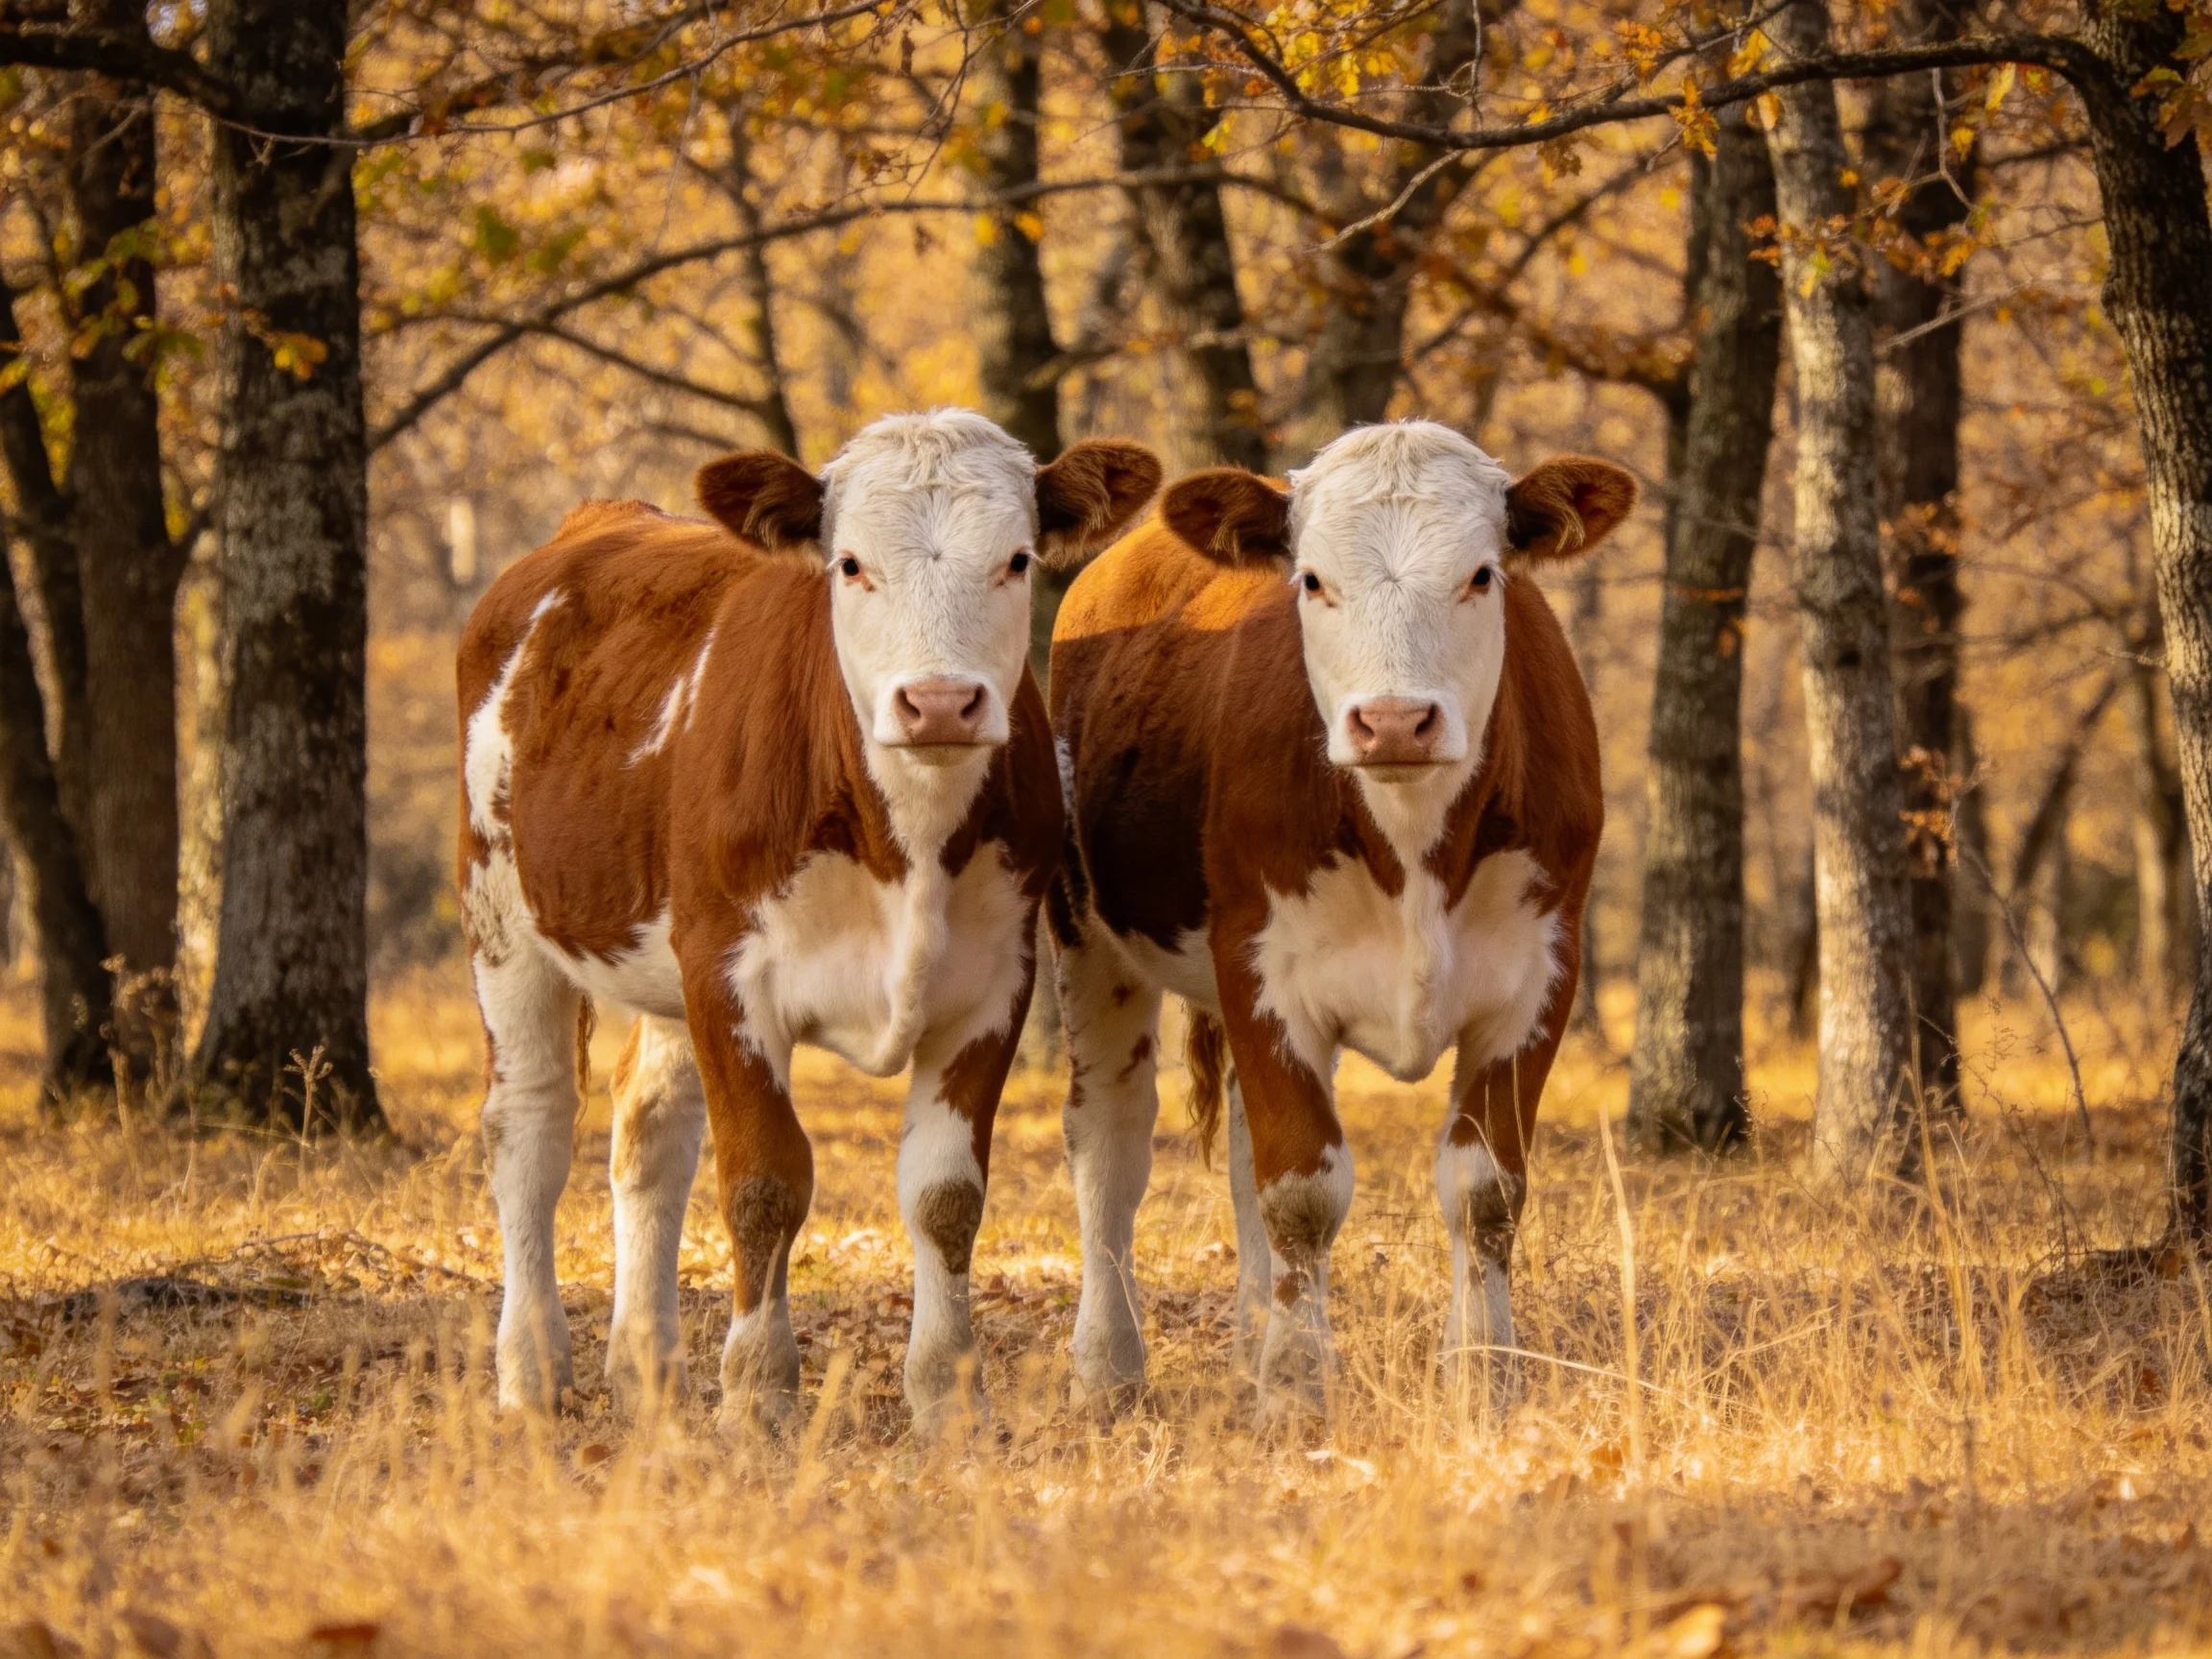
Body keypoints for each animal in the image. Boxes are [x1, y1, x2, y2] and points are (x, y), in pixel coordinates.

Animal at [456, 409, 1161, 1432]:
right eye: (850, 564)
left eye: (1019, 558)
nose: (939, 702)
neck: (902, 840)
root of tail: (600, 519)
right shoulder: (729, 976)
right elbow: (763, 1182)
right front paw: (757, 1393)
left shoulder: (992, 983)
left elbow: (946, 1195)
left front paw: (946, 1396)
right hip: (502, 916)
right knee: (531, 1128)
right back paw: (532, 1372)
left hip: (659, 962)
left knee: (649, 1133)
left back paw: (649, 1367)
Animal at [1046, 420, 1635, 1414]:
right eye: (1314, 580)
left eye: (1483, 574)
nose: (1394, 721)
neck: (1412, 843)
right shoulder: (1262, 970)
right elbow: (1301, 1190)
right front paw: (1294, 1386)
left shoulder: (1541, 977)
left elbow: (1486, 1189)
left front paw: (1483, 1375)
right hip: (1090, 940)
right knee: (1112, 1144)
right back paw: (1107, 1367)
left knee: (1237, 1148)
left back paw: (1244, 1342)